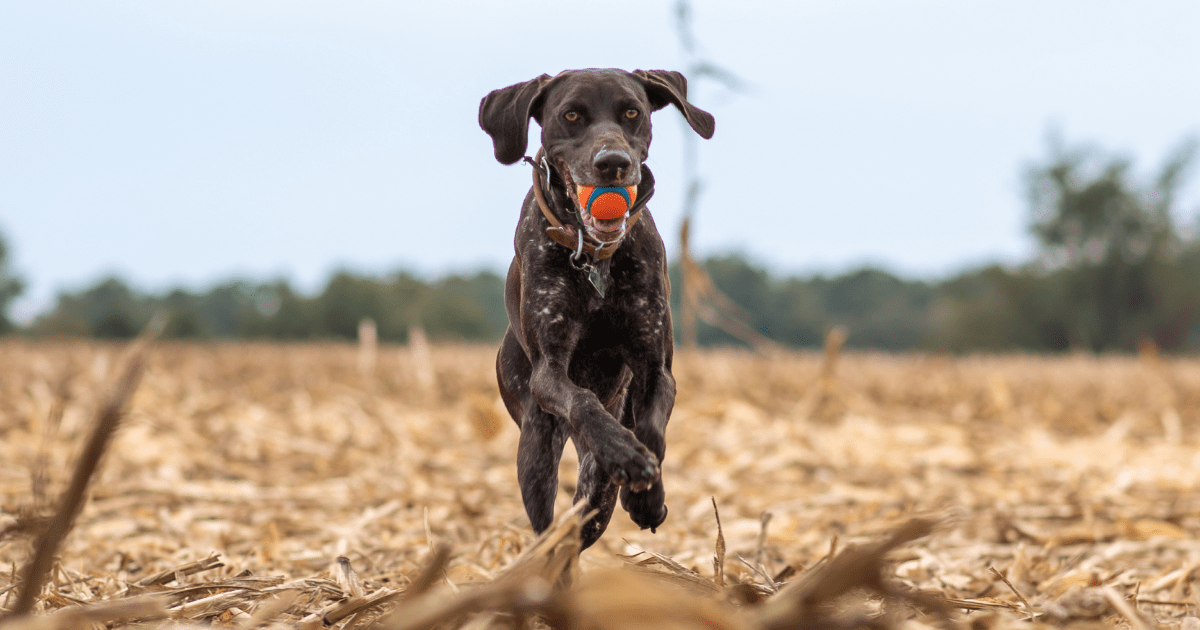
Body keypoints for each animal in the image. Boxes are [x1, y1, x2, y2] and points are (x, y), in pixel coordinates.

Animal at [477, 69, 715, 549]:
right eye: (571, 115)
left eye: (632, 112)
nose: (613, 162)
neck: (595, 258)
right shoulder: (550, 372)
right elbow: (583, 401)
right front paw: (624, 454)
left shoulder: (654, 367)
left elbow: (651, 430)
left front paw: (645, 494)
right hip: (535, 441)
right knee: (548, 519)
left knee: (592, 496)